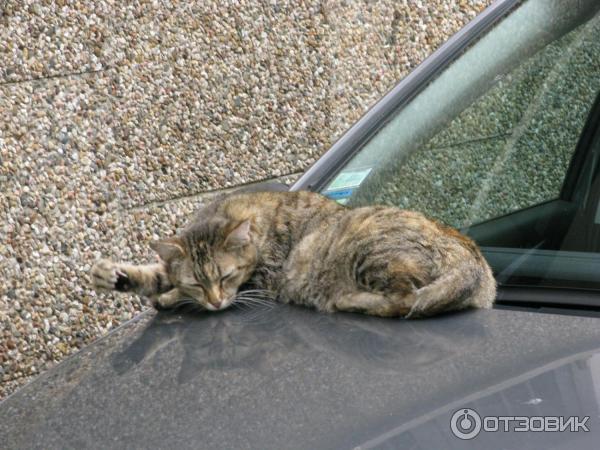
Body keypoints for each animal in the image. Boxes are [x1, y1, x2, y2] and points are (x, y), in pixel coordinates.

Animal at [91, 189, 494, 316]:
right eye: (196, 281)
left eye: (226, 276)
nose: (215, 301)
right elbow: (159, 272)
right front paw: (117, 275)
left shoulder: (261, 279)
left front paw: (169, 297)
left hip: (368, 251)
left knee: (403, 300)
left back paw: (347, 300)